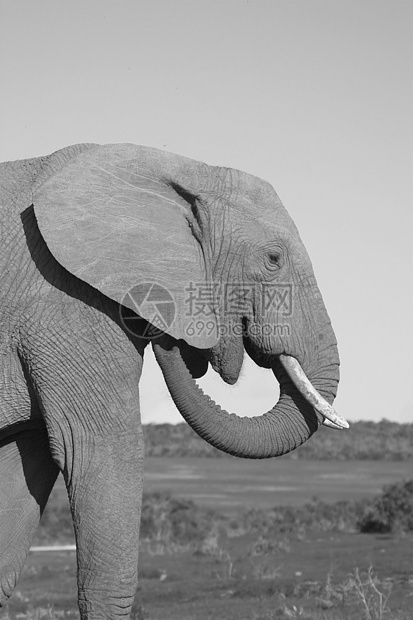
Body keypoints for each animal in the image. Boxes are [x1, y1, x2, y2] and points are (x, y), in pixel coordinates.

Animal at [0, 144, 348, 616]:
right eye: (273, 259)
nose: (171, 335)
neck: (179, 168)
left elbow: (23, 468)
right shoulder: (63, 300)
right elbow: (94, 451)